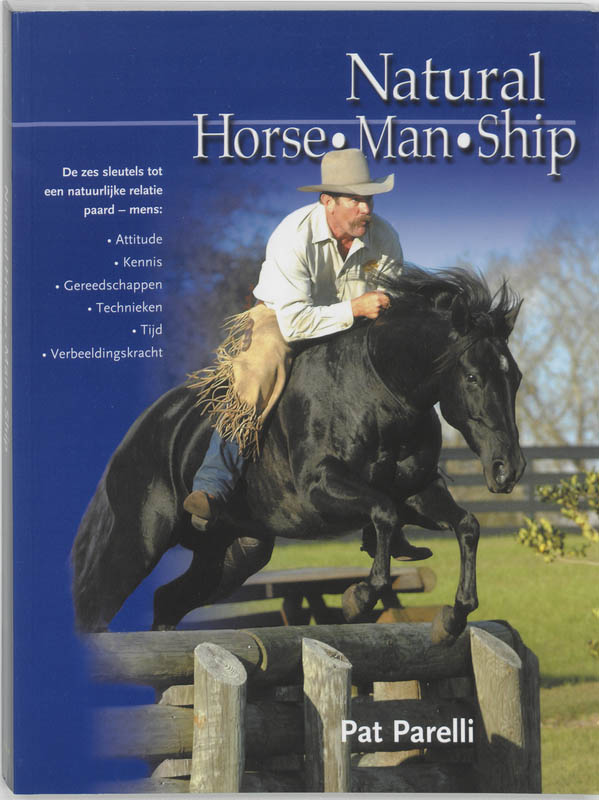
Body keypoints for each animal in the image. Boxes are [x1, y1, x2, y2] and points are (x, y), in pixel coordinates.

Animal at [71, 266, 525, 643]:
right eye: (472, 376)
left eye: (516, 377)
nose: (508, 469)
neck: (380, 390)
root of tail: (138, 431)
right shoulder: (321, 488)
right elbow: (383, 514)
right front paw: (358, 599)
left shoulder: (417, 492)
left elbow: (466, 525)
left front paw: (453, 618)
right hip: (139, 541)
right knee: (96, 606)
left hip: (235, 552)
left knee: (167, 600)